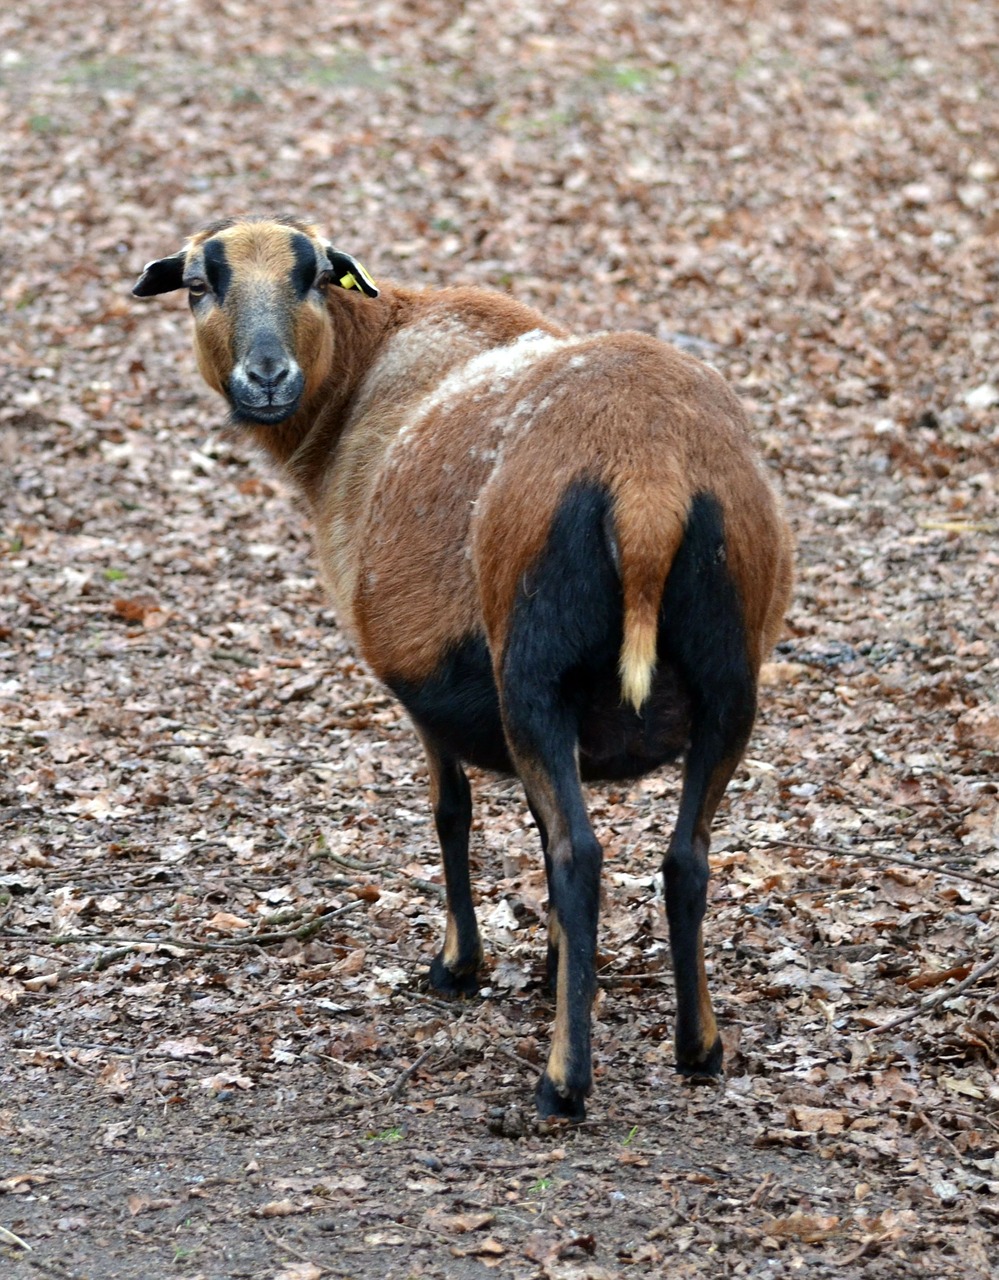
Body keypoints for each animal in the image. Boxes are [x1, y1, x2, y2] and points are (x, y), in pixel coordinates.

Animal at [132, 220, 794, 1121]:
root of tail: (647, 481)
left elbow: (453, 815)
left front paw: (460, 965)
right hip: (730, 679)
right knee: (685, 858)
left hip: (534, 670)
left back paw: (562, 1081)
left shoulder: (423, 688)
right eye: (200, 286)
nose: (266, 377)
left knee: (580, 857)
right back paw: (698, 1049)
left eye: (310, 277)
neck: (365, 372)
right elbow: (534, 830)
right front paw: (558, 970)